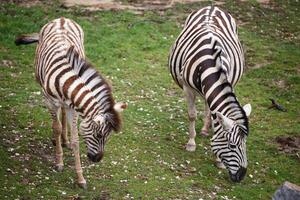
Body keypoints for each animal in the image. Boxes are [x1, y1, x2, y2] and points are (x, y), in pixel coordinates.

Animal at [15, 17, 126, 188]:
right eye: (99, 135)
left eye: (107, 136)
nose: (97, 159)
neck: (65, 82)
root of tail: (62, 19)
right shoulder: (49, 101)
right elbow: (56, 128)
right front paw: (59, 162)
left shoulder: (73, 107)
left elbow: (75, 139)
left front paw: (80, 178)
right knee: (57, 122)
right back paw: (59, 140)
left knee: (62, 115)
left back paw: (64, 140)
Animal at [169, 6, 251, 182]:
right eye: (232, 145)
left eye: (245, 144)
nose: (241, 177)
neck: (210, 64)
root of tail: (213, 6)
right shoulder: (187, 88)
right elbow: (192, 115)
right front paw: (191, 143)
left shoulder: (229, 82)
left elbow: (216, 122)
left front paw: (218, 160)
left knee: (209, 106)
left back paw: (206, 129)